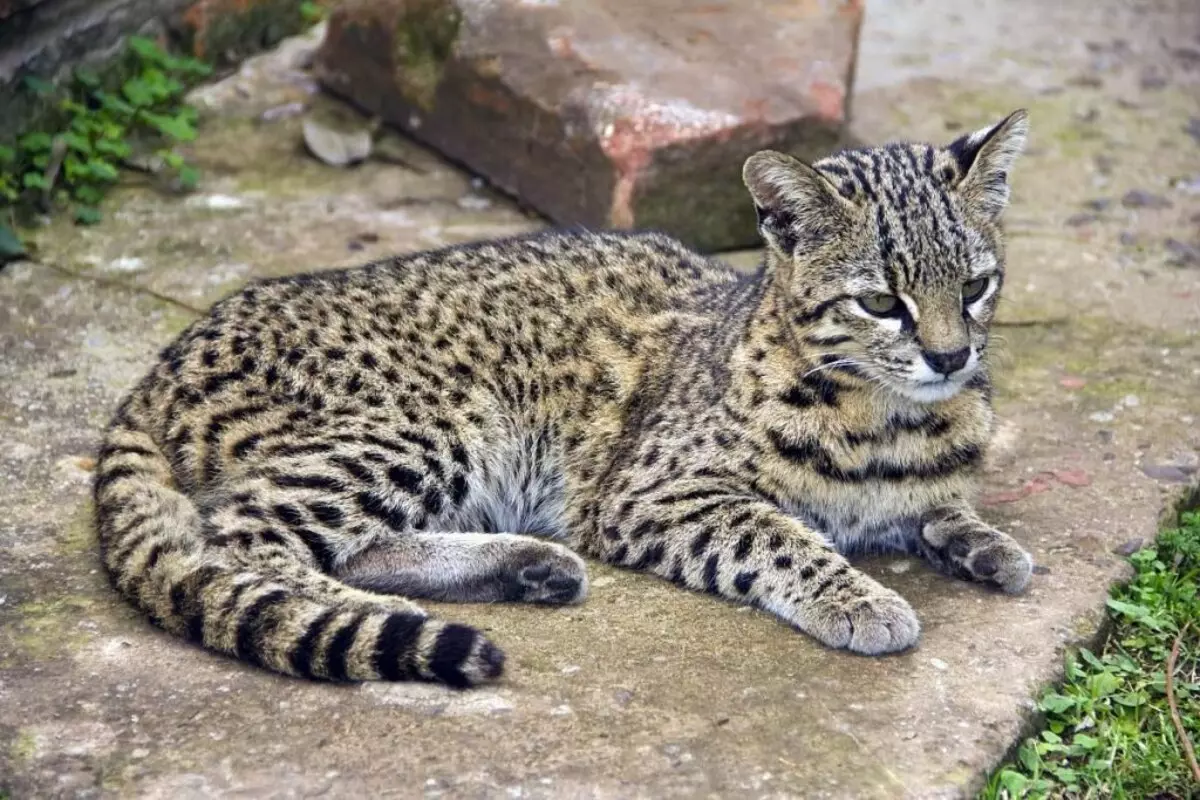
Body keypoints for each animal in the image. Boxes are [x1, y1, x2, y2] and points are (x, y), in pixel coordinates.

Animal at [91, 110, 1032, 690]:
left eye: (976, 285)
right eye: (880, 301)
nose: (951, 354)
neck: (889, 419)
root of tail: (165, 358)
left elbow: (939, 503)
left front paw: (977, 538)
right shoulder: (655, 492)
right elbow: (778, 534)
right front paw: (859, 598)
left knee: (338, 542)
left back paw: (524, 564)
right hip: (432, 423)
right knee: (242, 537)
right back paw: (381, 609)